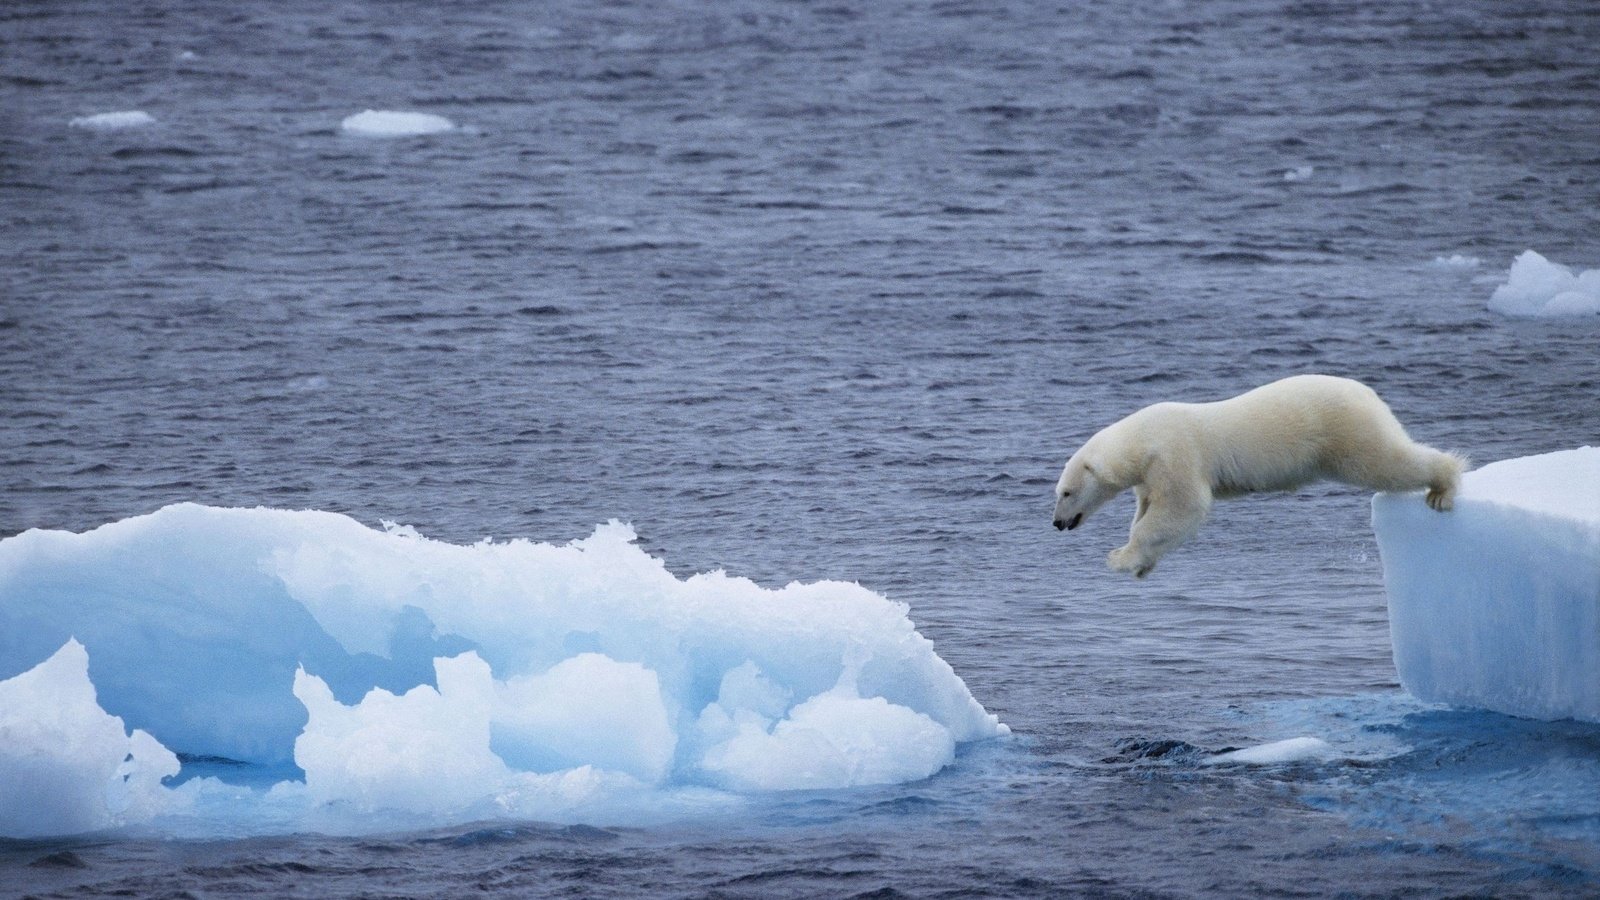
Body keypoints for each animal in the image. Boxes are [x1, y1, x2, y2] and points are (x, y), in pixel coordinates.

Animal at [1043, 371, 1465, 573]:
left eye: (1066, 492)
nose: (1057, 523)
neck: (1143, 438)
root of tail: (1368, 393)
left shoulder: (1175, 454)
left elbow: (1184, 506)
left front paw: (1120, 558)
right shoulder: (1150, 475)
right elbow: (1152, 511)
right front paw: (1142, 563)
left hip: (1345, 432)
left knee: (1385, 462)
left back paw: (1442, 486)